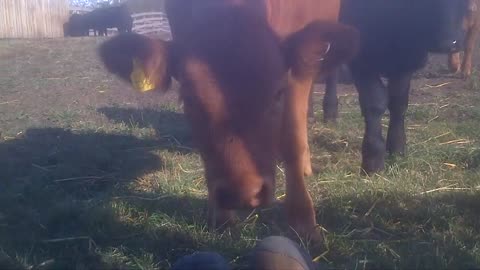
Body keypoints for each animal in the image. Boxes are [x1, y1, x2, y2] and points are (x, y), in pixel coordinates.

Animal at [318, 0, 468, 173]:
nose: (449, 44)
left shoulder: (405, 63)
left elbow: (398, 103)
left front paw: (397, 149)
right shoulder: (361, 61)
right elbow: (375, 103)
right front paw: (373, 160)